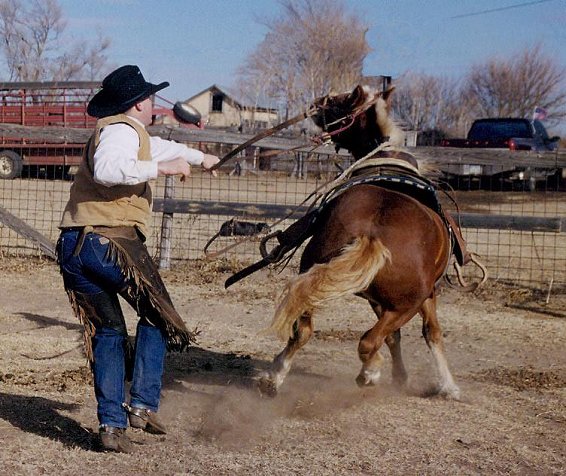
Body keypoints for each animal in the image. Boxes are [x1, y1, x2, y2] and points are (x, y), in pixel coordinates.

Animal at [260, 84, 464, 398]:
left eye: (339, 101)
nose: (315, 105)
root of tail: (372, 235)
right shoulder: (427, 295)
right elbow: (431, 333)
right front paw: (446, 385)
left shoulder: (378, 300)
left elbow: (396, 338)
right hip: (408, 304)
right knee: (369, 341)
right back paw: (370, 373)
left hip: (318, 276)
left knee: (304, 332)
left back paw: (274, 377)